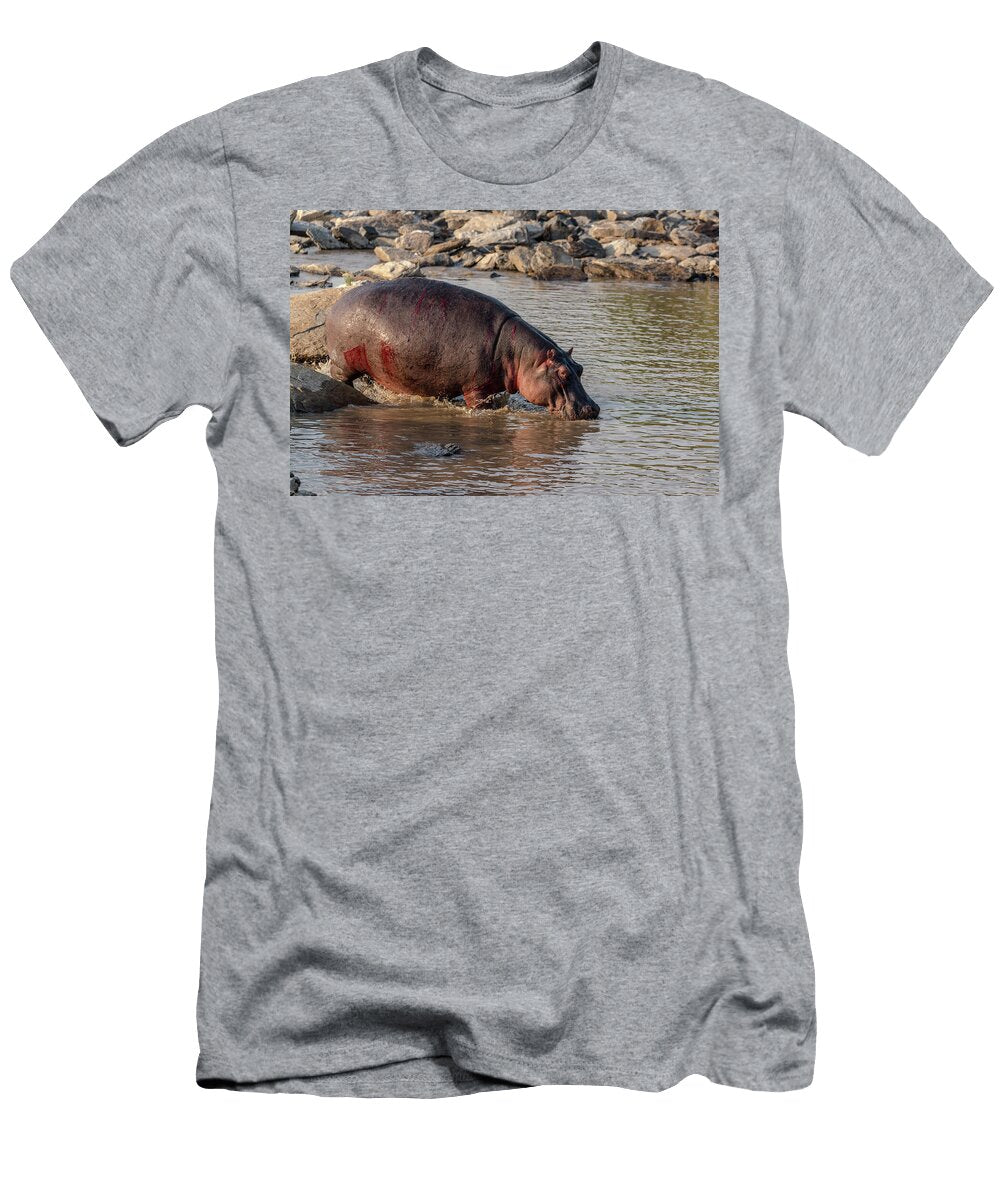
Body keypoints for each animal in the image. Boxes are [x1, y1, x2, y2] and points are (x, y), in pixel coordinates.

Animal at [325, 278, 600, 420]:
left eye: (580, 368)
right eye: (562, 373)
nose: (593, 408)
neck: (523, 357)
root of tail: (337, 303)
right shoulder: (476, 390)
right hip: (342, 363)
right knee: (341, 378)